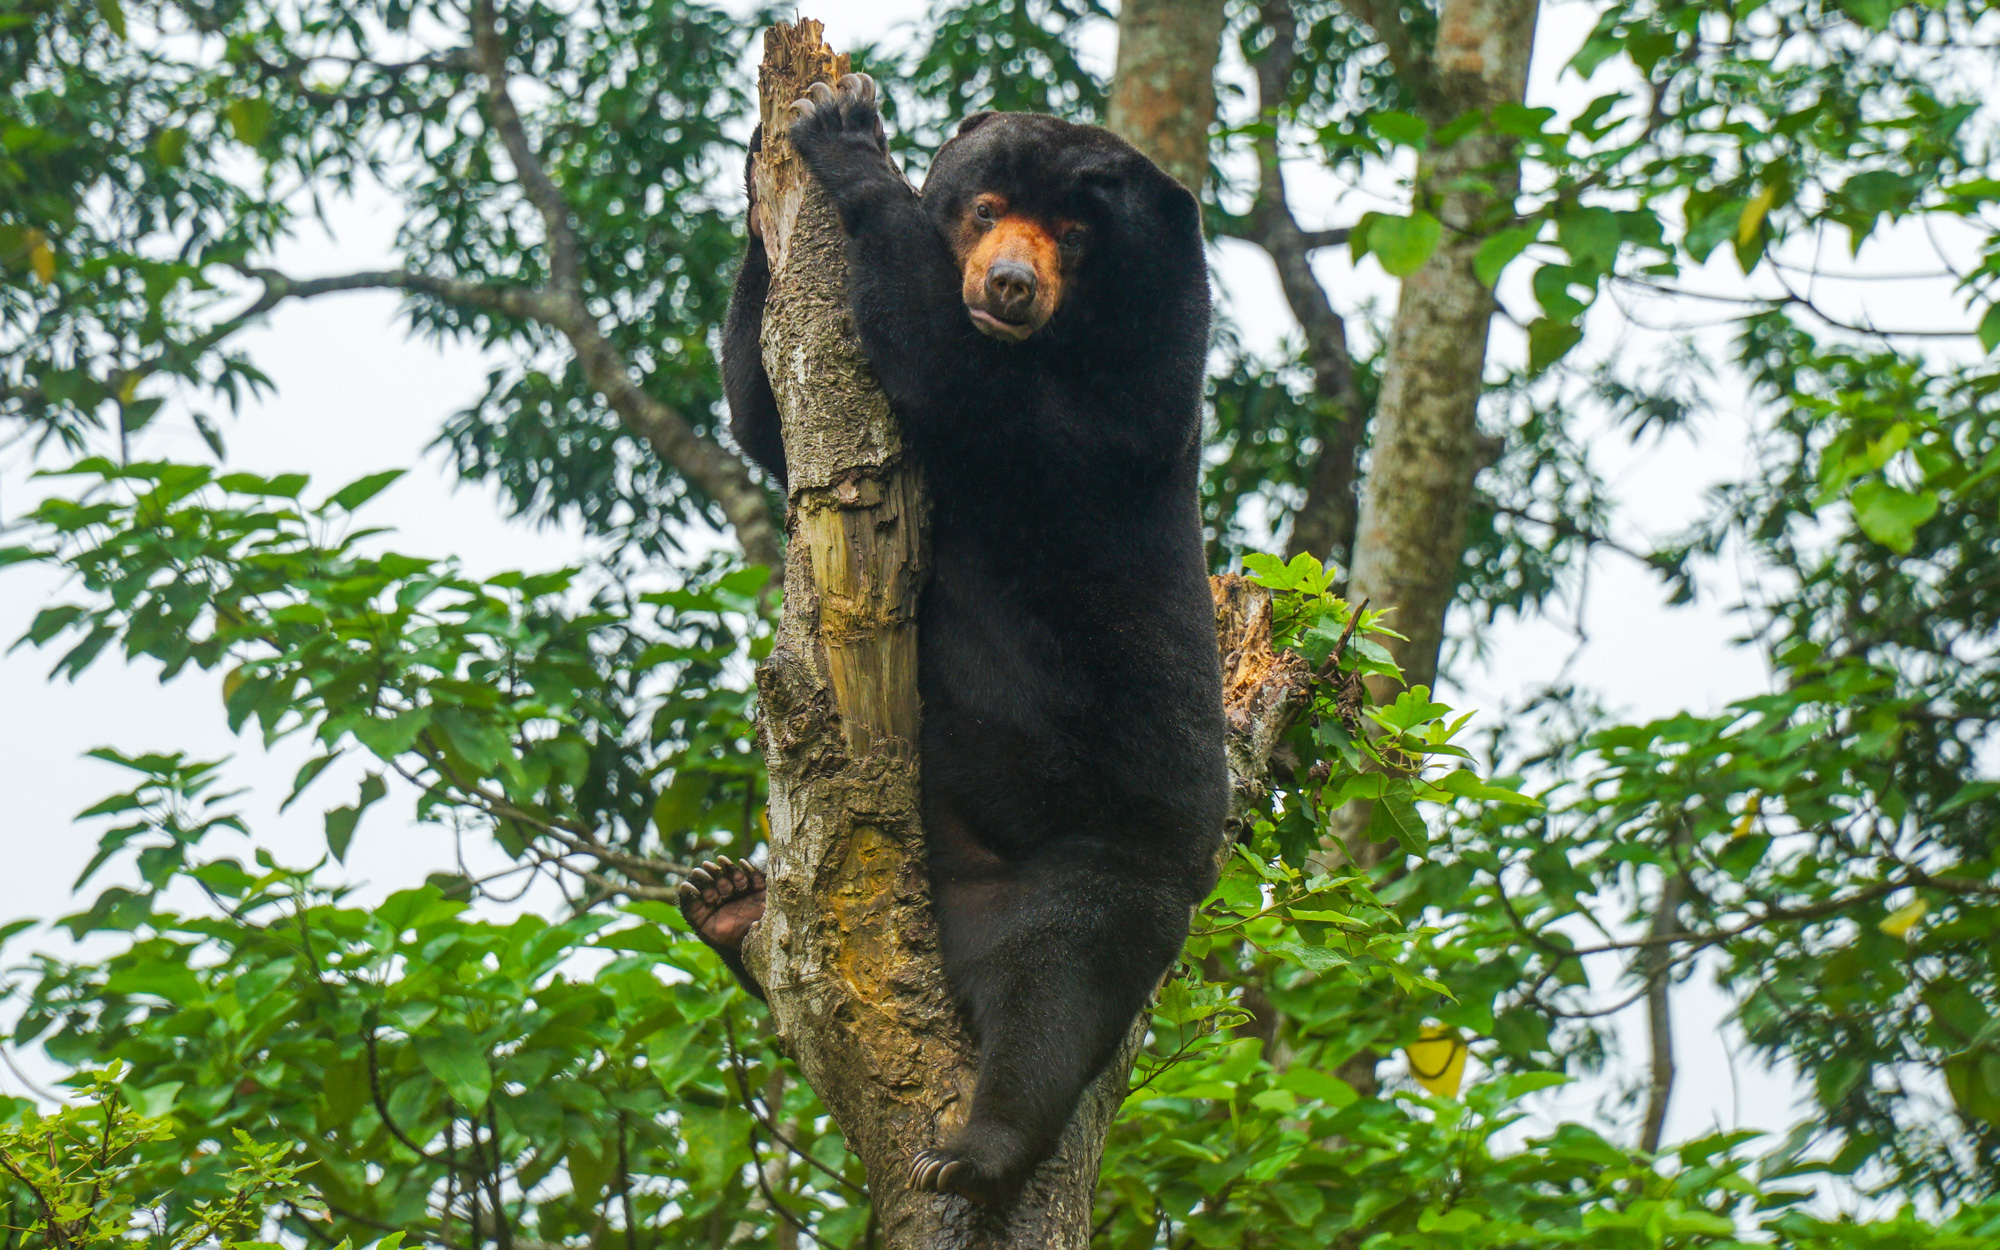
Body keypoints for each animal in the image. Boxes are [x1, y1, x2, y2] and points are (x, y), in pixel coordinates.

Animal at [680, 73, 1224, 1208]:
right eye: (984, 209)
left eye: (1075, 236)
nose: (1010, 285)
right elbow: (765, 421)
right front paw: (763, 164)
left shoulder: (1129, 401)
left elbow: (968, 391)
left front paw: (850, 139)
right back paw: (726, 903)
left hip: (1112, 857)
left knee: (1056, 992)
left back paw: (973, 1149)